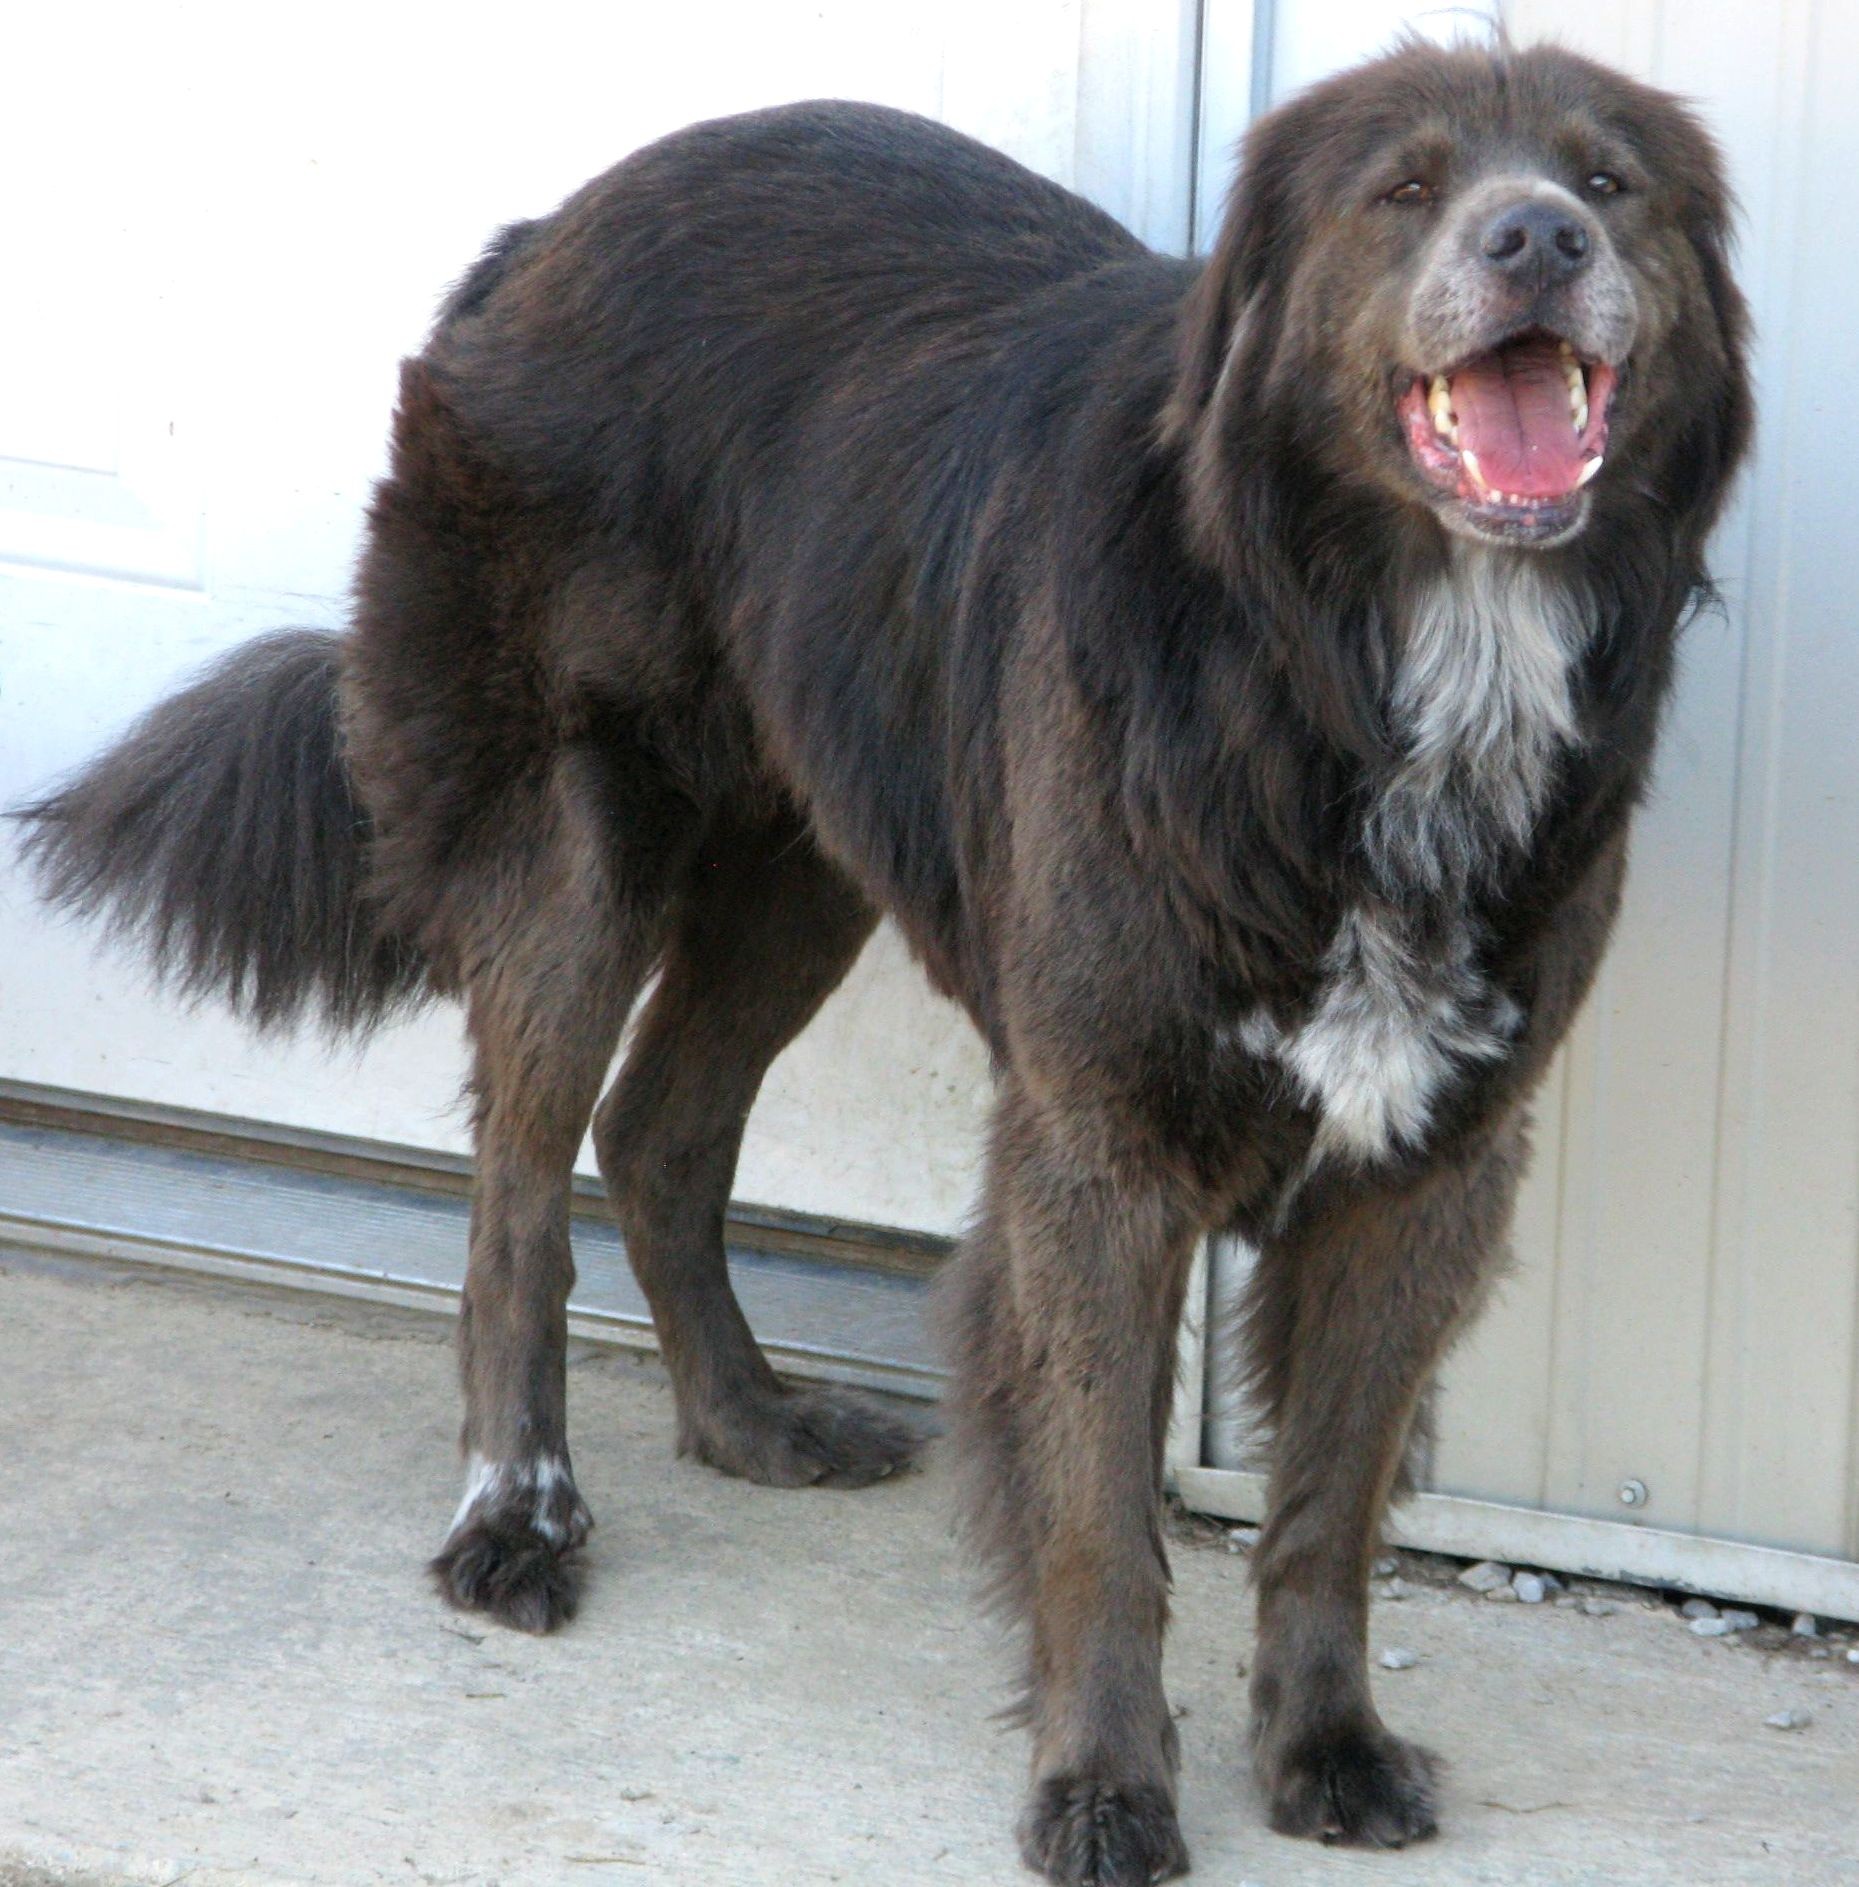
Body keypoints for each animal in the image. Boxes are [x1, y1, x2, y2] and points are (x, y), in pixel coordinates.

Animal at [21, 36, 1751, 1879]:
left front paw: (1324, 1741)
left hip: (800, 860)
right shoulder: (1097, 1146)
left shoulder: (1426, 1162)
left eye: (1607, 180)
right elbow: (1097, 1515)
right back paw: (518, 1518)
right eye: (1405, 186)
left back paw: (748, 1419)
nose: (1537, 240)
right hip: (577, 851)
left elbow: (1326, 1507)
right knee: (515, 1197)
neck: (1357, 658)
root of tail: (545, 228)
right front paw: (1100, 1783)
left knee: (656, 1132)